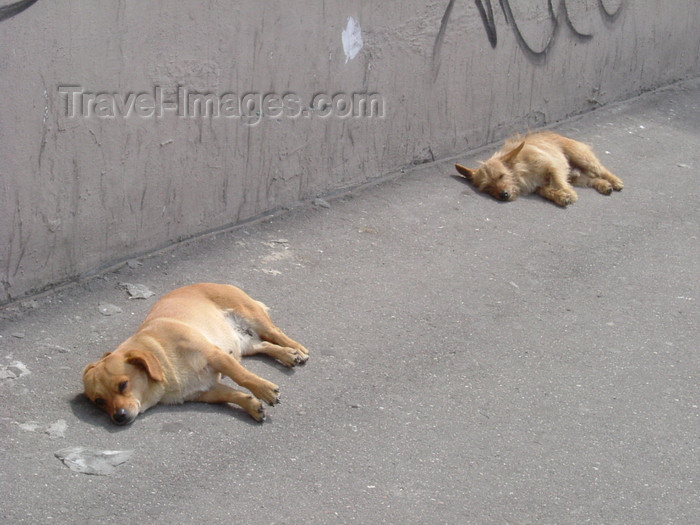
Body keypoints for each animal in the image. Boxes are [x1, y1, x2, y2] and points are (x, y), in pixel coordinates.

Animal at [83, 284, 308, 424]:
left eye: (123, 385)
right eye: (100, 402)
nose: (118, 417)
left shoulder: (216, 356)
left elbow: (242, 377)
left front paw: (265, 390)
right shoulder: (206, 392)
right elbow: (232, 394)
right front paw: (251, 405)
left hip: (253, 317)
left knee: (276, 333)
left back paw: (298, 348)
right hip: (245, 344)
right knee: (265, 345)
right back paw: (289, 354)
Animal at [456, 130, 628, 206]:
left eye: (501, 176)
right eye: (488, 187)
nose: (503, 195)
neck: (520, 173)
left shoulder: (553, 166)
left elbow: (558, 181)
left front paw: (569, 194)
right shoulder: (539, 186)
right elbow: (548, 190)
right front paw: (560, 197)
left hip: (581, 157)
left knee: (601, 169)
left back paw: (614, 181)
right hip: (578, 177)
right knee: (593, 179)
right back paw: (604, 185)